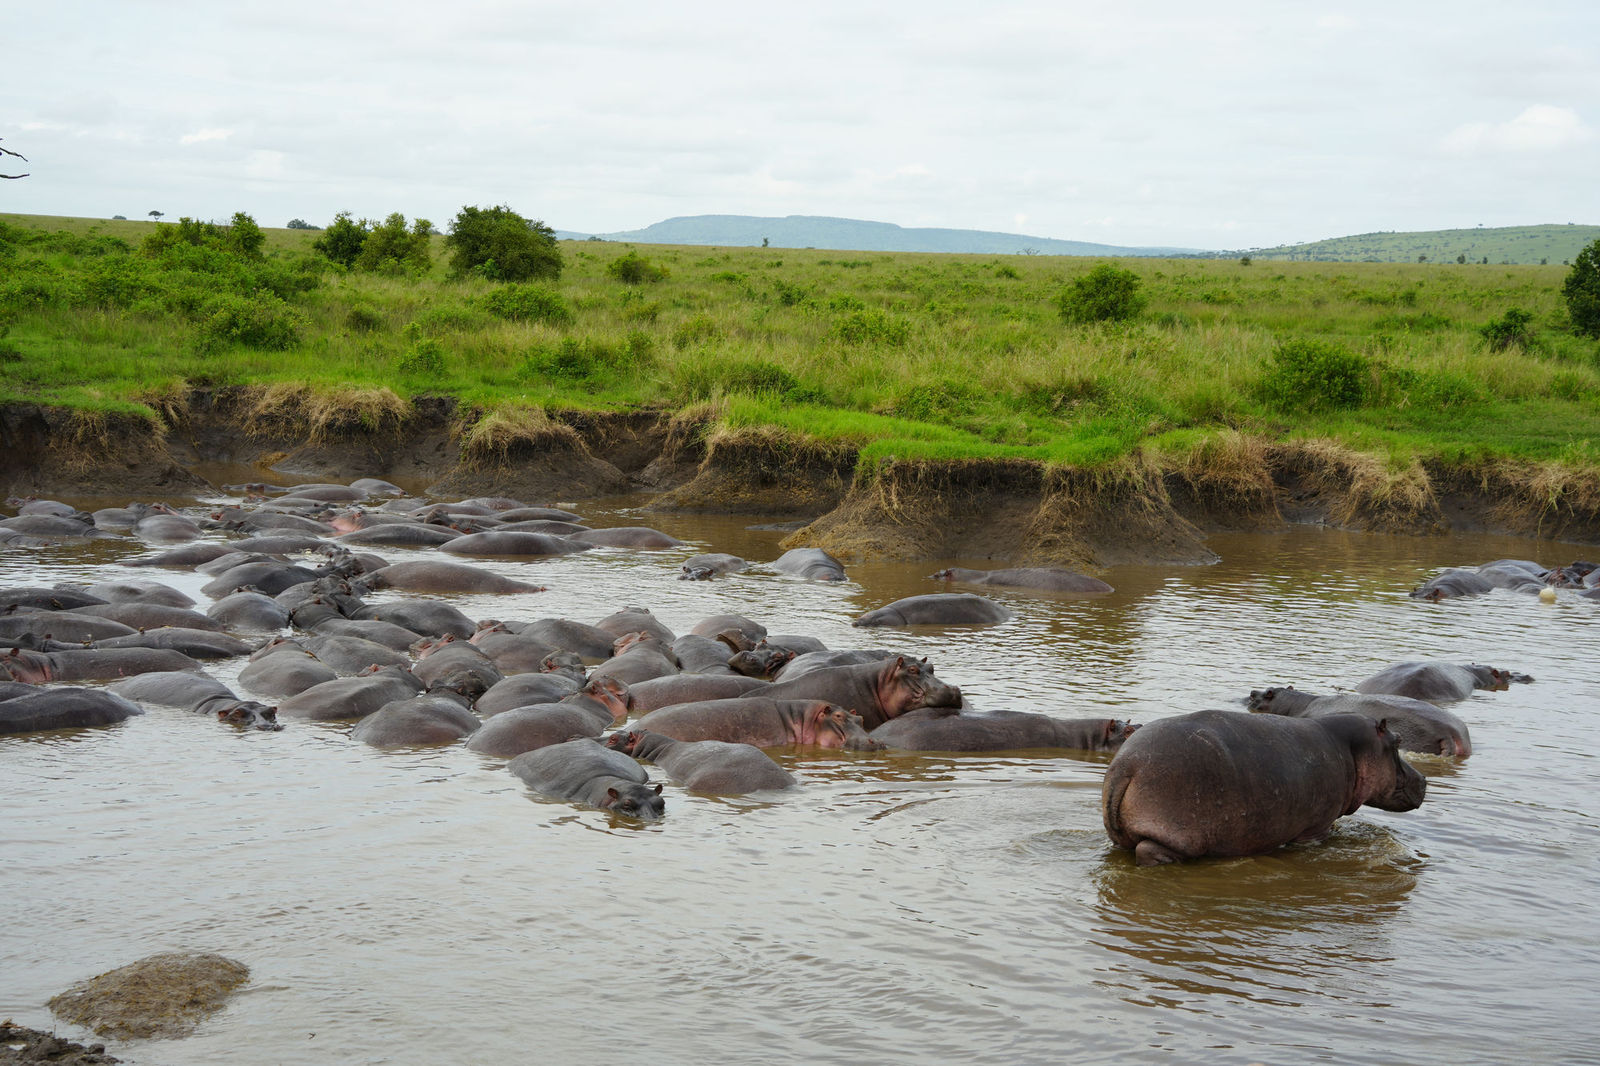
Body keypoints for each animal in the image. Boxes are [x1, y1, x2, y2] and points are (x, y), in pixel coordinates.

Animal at [1101, 709, 1426, 865]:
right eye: (1397, 741)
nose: (1424, 780)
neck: (1351, 748)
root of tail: (1126, 765)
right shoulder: (1317, 828)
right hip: (1178, 836)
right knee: (1150, 851)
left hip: (1120, 834)